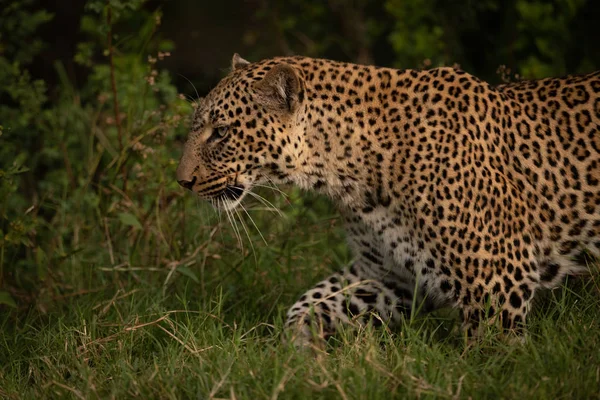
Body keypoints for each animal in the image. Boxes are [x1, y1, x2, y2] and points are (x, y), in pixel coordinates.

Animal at [176, 53, 596, 346]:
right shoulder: (388, 273)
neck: (347, 176)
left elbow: (492, 355)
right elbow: (312, 304)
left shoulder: (498, 281)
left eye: (221, 132)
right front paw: (300, 356)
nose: (182, 182)